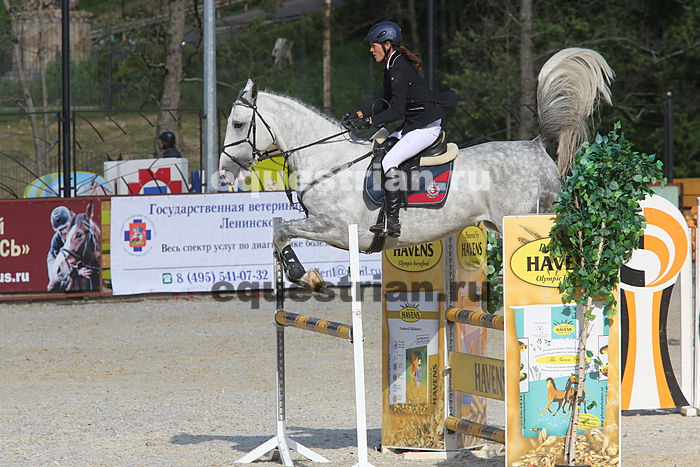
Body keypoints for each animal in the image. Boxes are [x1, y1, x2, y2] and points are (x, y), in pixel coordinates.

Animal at [219, 48, 613, 291]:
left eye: (238, 124)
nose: (224, 172)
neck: (329, 160)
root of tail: (535, 145)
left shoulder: (335, 228)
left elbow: (281, 230)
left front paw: (305, 277)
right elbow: (279, 230)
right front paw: (304, 276)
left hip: (519, 223)